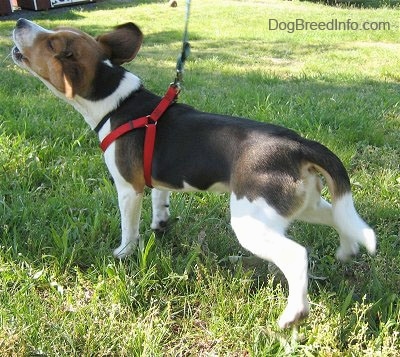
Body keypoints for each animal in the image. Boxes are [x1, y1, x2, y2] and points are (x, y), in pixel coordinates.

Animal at [10, 18, 376, 326]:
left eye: (51, 43)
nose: (20, 21)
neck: (117, 103)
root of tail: (299, 145)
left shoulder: (128, 188)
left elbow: (129, 229)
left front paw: (123, 254)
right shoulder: (157, 181)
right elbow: (160, 203)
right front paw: (160, 225)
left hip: (252, 221)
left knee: (297, 255)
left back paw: (293, 314)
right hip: (303, 204)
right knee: (341, 219)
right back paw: (346, 251)